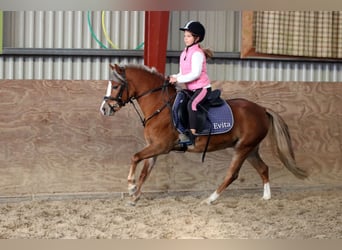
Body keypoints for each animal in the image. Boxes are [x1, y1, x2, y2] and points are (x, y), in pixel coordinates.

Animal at [99, 64, 308, 205]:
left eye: (116, 86)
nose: (104, 109)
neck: (159, 106)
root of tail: (262, 109)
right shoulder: (154, 148)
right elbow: (144, 172)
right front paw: (135, 197)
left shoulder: (160, 147)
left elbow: (134, 157)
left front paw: (130, 186)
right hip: (251, 149)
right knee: (263, 169)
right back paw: (266, 197)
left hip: (243, 148)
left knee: (232, 174)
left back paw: (210, 199)